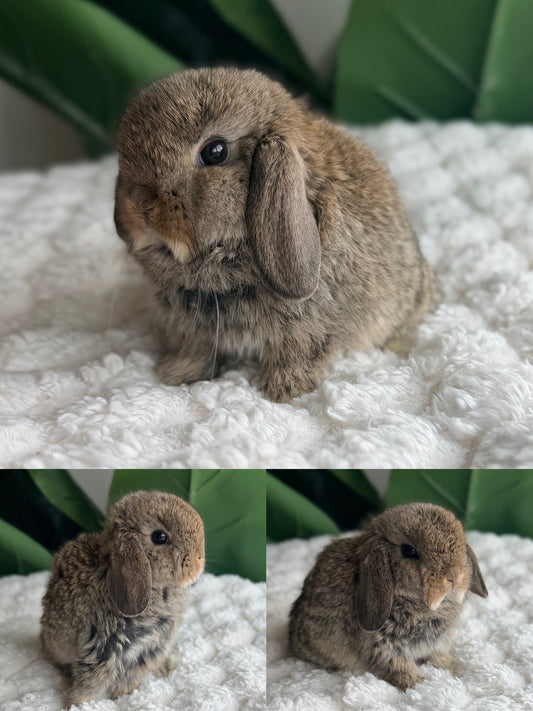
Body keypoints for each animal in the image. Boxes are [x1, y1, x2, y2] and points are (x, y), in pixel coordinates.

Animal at [40, 490, 204, 706]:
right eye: (160, 537)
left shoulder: (151, 647)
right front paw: (79, 703)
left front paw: (125, 693)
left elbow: (133, 673)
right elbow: (92, 682)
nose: (199, 559)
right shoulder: (103, 649)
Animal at [114, 67, 437, 403]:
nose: (140, 206)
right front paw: (176, 375)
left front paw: (283, 390)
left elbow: (297, 355)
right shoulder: (188, 329)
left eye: (215, 152)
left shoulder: (306, 330)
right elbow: (194, 351)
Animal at [288, 502, 487, 690]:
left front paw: (450, 668)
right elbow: (400, 668)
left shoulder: (438, 644)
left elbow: (438, 656)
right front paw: (421, 683)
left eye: (462, 542)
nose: (454, 576)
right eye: (409, 551)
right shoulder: (384, 649)